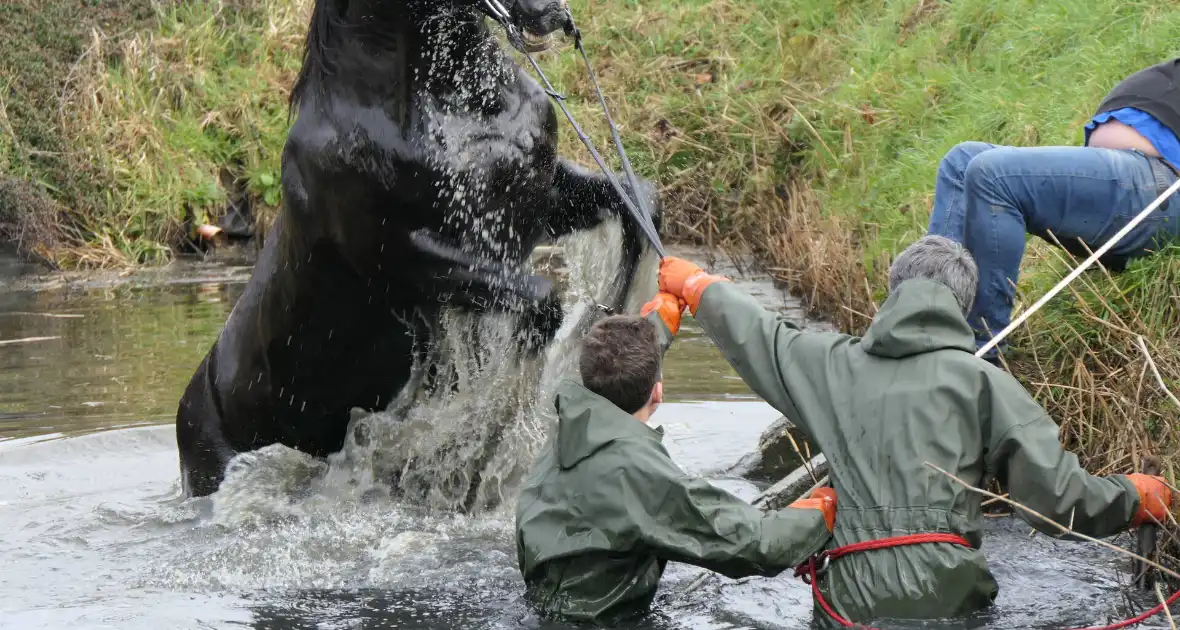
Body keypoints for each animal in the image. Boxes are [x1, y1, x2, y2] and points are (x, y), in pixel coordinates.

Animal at [179, 0, 670, 497]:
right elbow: (541, 300)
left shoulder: (541, 199)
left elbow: (641, 200)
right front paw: (478, 452)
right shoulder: (408, 263)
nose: (555, 12)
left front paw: (617, 312)